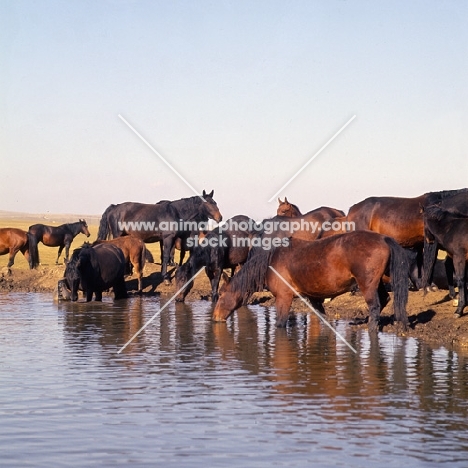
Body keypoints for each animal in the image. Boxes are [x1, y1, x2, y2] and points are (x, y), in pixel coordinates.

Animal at [212, 231, 410, 332]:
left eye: (221, 294)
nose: (214, 318)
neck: (271, 262)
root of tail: (383, 238)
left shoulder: (283, 298)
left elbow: (280, 324)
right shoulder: (313, 297)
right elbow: (323, 318)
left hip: (366, 285)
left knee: (375, 305)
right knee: (384, 299)